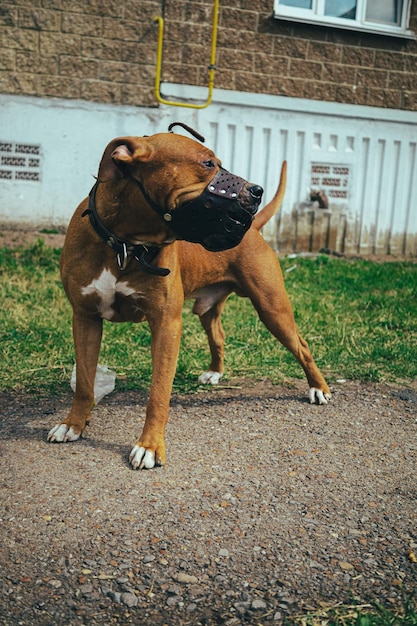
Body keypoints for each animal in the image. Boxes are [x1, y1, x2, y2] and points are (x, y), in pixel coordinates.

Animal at [47, 124, 330, 466]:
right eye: (208, 163)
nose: (257, 190)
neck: (124, 243)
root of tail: (254, 230)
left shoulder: (166, 326)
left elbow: (158, 394)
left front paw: (150, 446)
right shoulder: (85, 318)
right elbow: (85, 384)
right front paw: (73, 424)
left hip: (273, 309)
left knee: (301, 346)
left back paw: (318, 388)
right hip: (209, 309)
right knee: (218, 335)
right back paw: (215, 373)